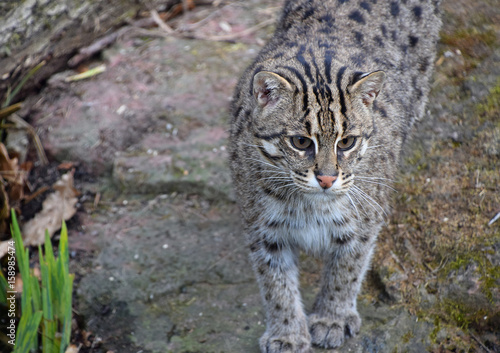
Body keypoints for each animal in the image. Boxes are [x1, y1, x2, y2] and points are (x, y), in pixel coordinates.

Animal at [229, 1, 440, 350]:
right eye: (301, 142)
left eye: (347, 142)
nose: (327, 179)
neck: (309, 203)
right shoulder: (262, 227)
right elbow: (275, 284)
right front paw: (287, 333)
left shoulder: (364, 219)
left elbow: (347, 268)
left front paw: (332, 318)